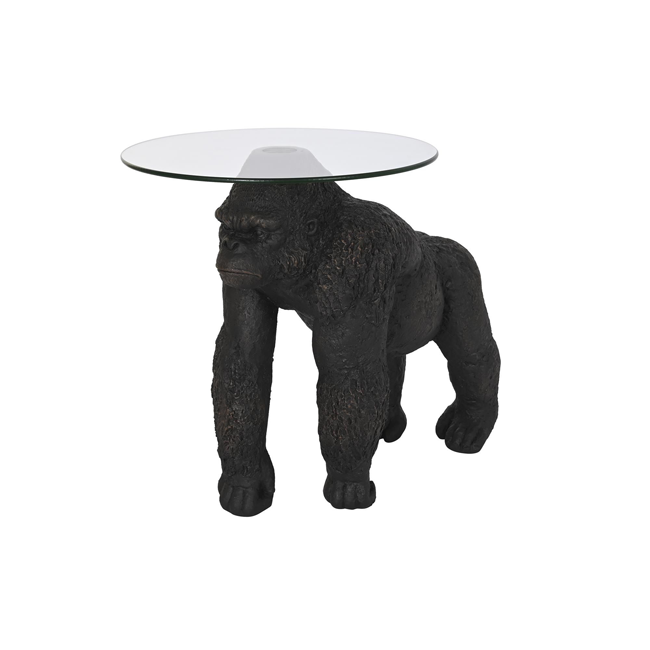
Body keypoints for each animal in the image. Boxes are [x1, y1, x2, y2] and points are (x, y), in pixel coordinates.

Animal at [212, 181, 500, 516]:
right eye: (225, 226)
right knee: (389, 357)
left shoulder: (356, 258)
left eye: (259, 231)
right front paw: (245, 479)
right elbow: (244, 359)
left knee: (470, 350)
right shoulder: (242, 282)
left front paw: (347, 480)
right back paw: (389, 422)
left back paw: (472, 421)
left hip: (460, 269)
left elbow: (347, 370)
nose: (230, 244)